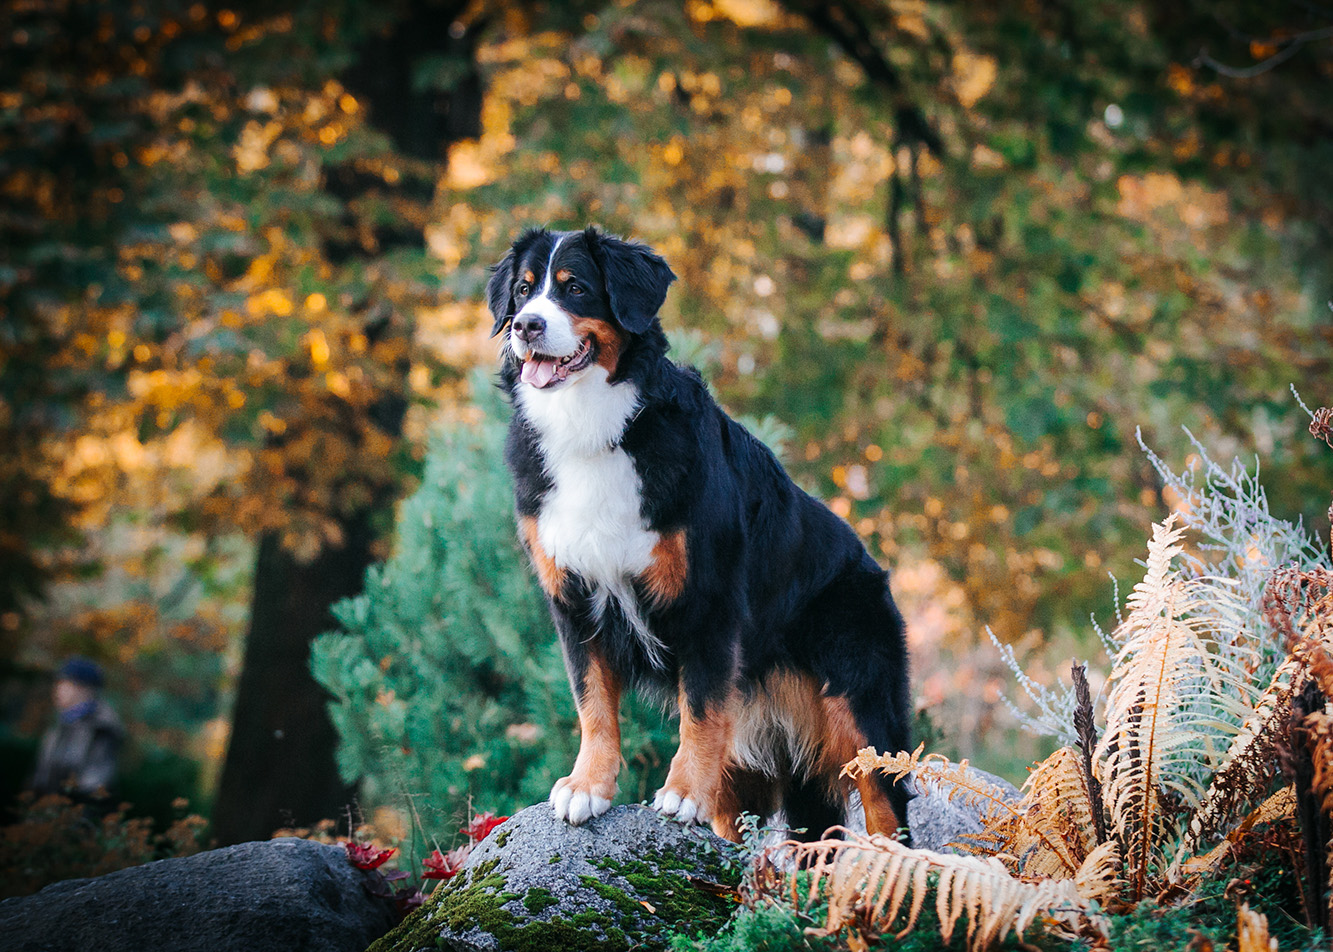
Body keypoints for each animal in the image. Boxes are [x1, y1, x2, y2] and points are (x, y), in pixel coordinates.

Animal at [490, 226, 917, 842]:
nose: (526, 326)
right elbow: (593, 704)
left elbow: (701, 707)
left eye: (575, 289)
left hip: (859, 701)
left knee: (887, 810)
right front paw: (587, 786)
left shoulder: (709, 600)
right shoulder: (574, 598)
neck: (595, 429)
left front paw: (683, 790)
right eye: (524, 291)